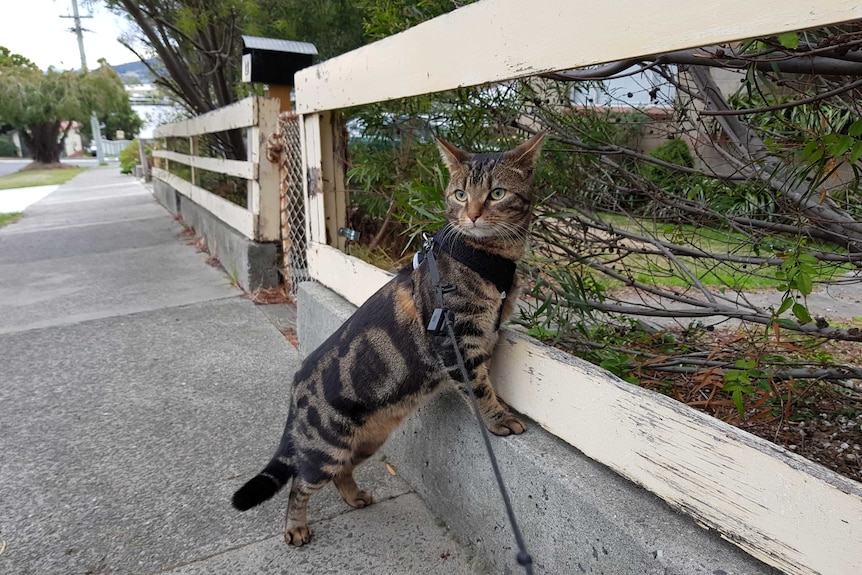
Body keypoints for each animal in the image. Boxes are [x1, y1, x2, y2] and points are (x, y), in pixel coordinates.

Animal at [235, 132, 548, 548]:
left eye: (497, 193)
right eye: (461, 194)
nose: (473, 215)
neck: (490, 256)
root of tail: (297, 383)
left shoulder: (485, 331)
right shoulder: (456, 338)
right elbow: (478, 387)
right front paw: (498, 419)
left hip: (368, 440)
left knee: (342, 472)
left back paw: (354, 497)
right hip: (325, 448)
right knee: (300, 483)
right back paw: (295, 527)